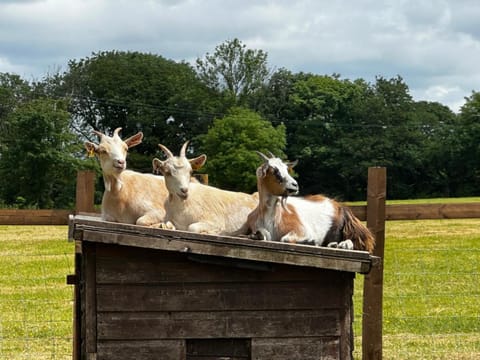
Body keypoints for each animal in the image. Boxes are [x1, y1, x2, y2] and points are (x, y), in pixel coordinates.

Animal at [244, 152, 376, 253]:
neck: (271, 217)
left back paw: (344, 245)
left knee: (357, 243)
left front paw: (311, 241)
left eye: (286, 170)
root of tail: (339, 206)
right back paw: (334, 245)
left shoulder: (301, 230)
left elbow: (285, 239)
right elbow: (262, 234)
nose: (295, 185)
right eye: (274, 171)